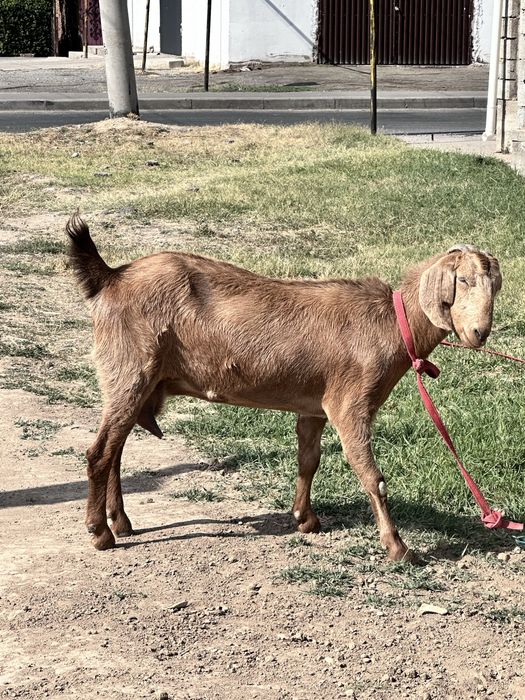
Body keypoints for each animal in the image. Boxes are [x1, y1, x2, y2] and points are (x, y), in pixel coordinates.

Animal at [65, 213, 502, 560]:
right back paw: (101, 533)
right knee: (99, 453)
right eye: (462, 280)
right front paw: (398, 547)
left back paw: (121, 521)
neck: (391, 324)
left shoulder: (314, 406)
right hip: (130, 370)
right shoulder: (350, 402)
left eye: (494, 286)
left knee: (115, 450)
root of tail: (110, 277)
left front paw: (305, 518)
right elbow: (370, 474)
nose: (479, 333)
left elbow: (309, 460)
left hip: (132, 380)